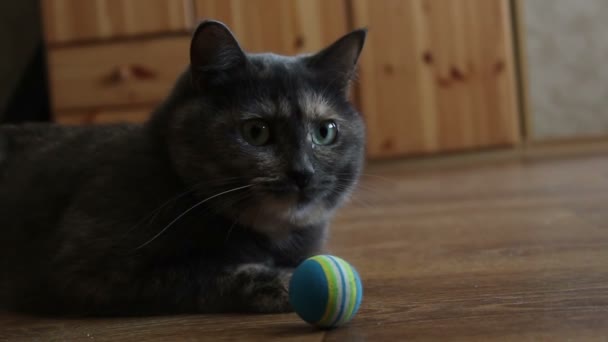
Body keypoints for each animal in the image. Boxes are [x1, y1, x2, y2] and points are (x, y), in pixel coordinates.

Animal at [0, 20, 366, 316]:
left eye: (325, 131)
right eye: (256, 132)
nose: (303, 173)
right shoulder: (84, 270)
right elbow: (200, 273)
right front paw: (281, 282)